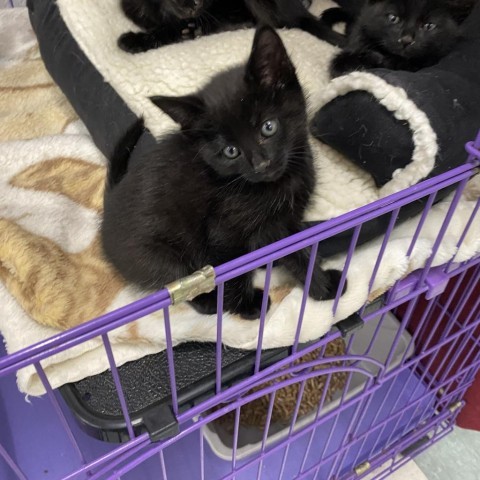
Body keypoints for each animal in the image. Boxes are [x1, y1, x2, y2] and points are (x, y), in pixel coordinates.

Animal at [102, 25, 340, 318]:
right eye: (230, 151)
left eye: (268, 127)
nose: (261, 164)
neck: (277, 184)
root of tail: (109, 205)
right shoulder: (224, 230)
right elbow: (231, 269)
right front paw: (248, 306)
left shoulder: (285, 222)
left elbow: (300, 251)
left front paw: (323, 286)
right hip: (160, 254)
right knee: (178, 285)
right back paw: (209, 302)